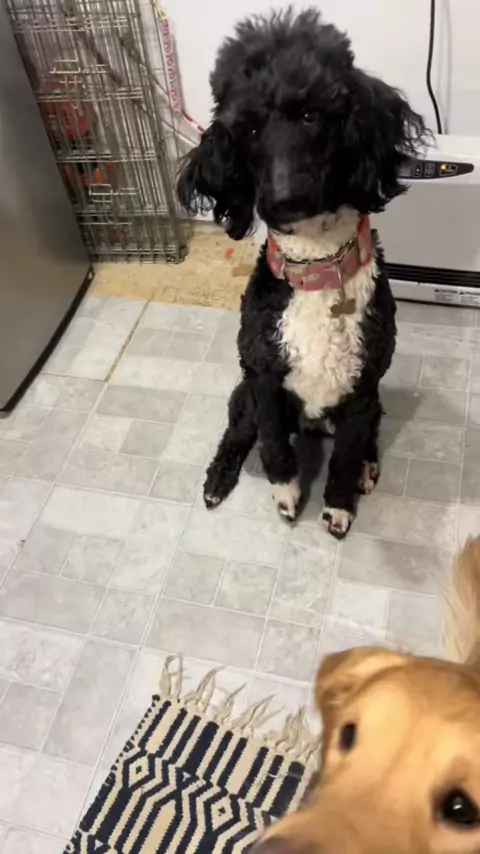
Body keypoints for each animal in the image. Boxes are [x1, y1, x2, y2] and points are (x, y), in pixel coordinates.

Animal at [177, 8, 427, 539]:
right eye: (247, 131)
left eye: (312, 114)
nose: (283, 198)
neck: (317, 269)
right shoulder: (264, 381)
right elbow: (273, 445)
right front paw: (288, 493)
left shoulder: (362, 390)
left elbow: (347, 456)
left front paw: (338, 506)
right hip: (243, 395)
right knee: (237, 433)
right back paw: (217, 480)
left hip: (372, 402)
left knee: (368, 437)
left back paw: (370, 467)